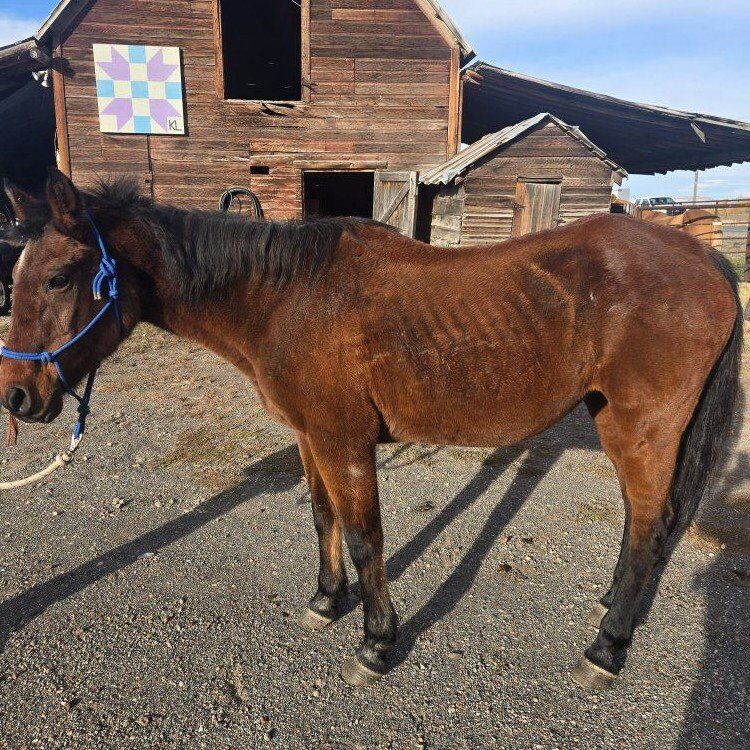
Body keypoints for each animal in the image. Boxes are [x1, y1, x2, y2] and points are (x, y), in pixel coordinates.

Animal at [0, 169, 741, 689]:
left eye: (60, 277)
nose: (17, 397)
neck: (286, 297)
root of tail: (704, 259)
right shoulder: (310, 437)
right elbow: (322, 517)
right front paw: (327, 602)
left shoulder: (344, 442)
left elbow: (364, 539)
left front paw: (376, 643)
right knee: (641, 522)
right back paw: (612, 609)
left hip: (641, 430)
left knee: (650, 524)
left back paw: (607, 648)